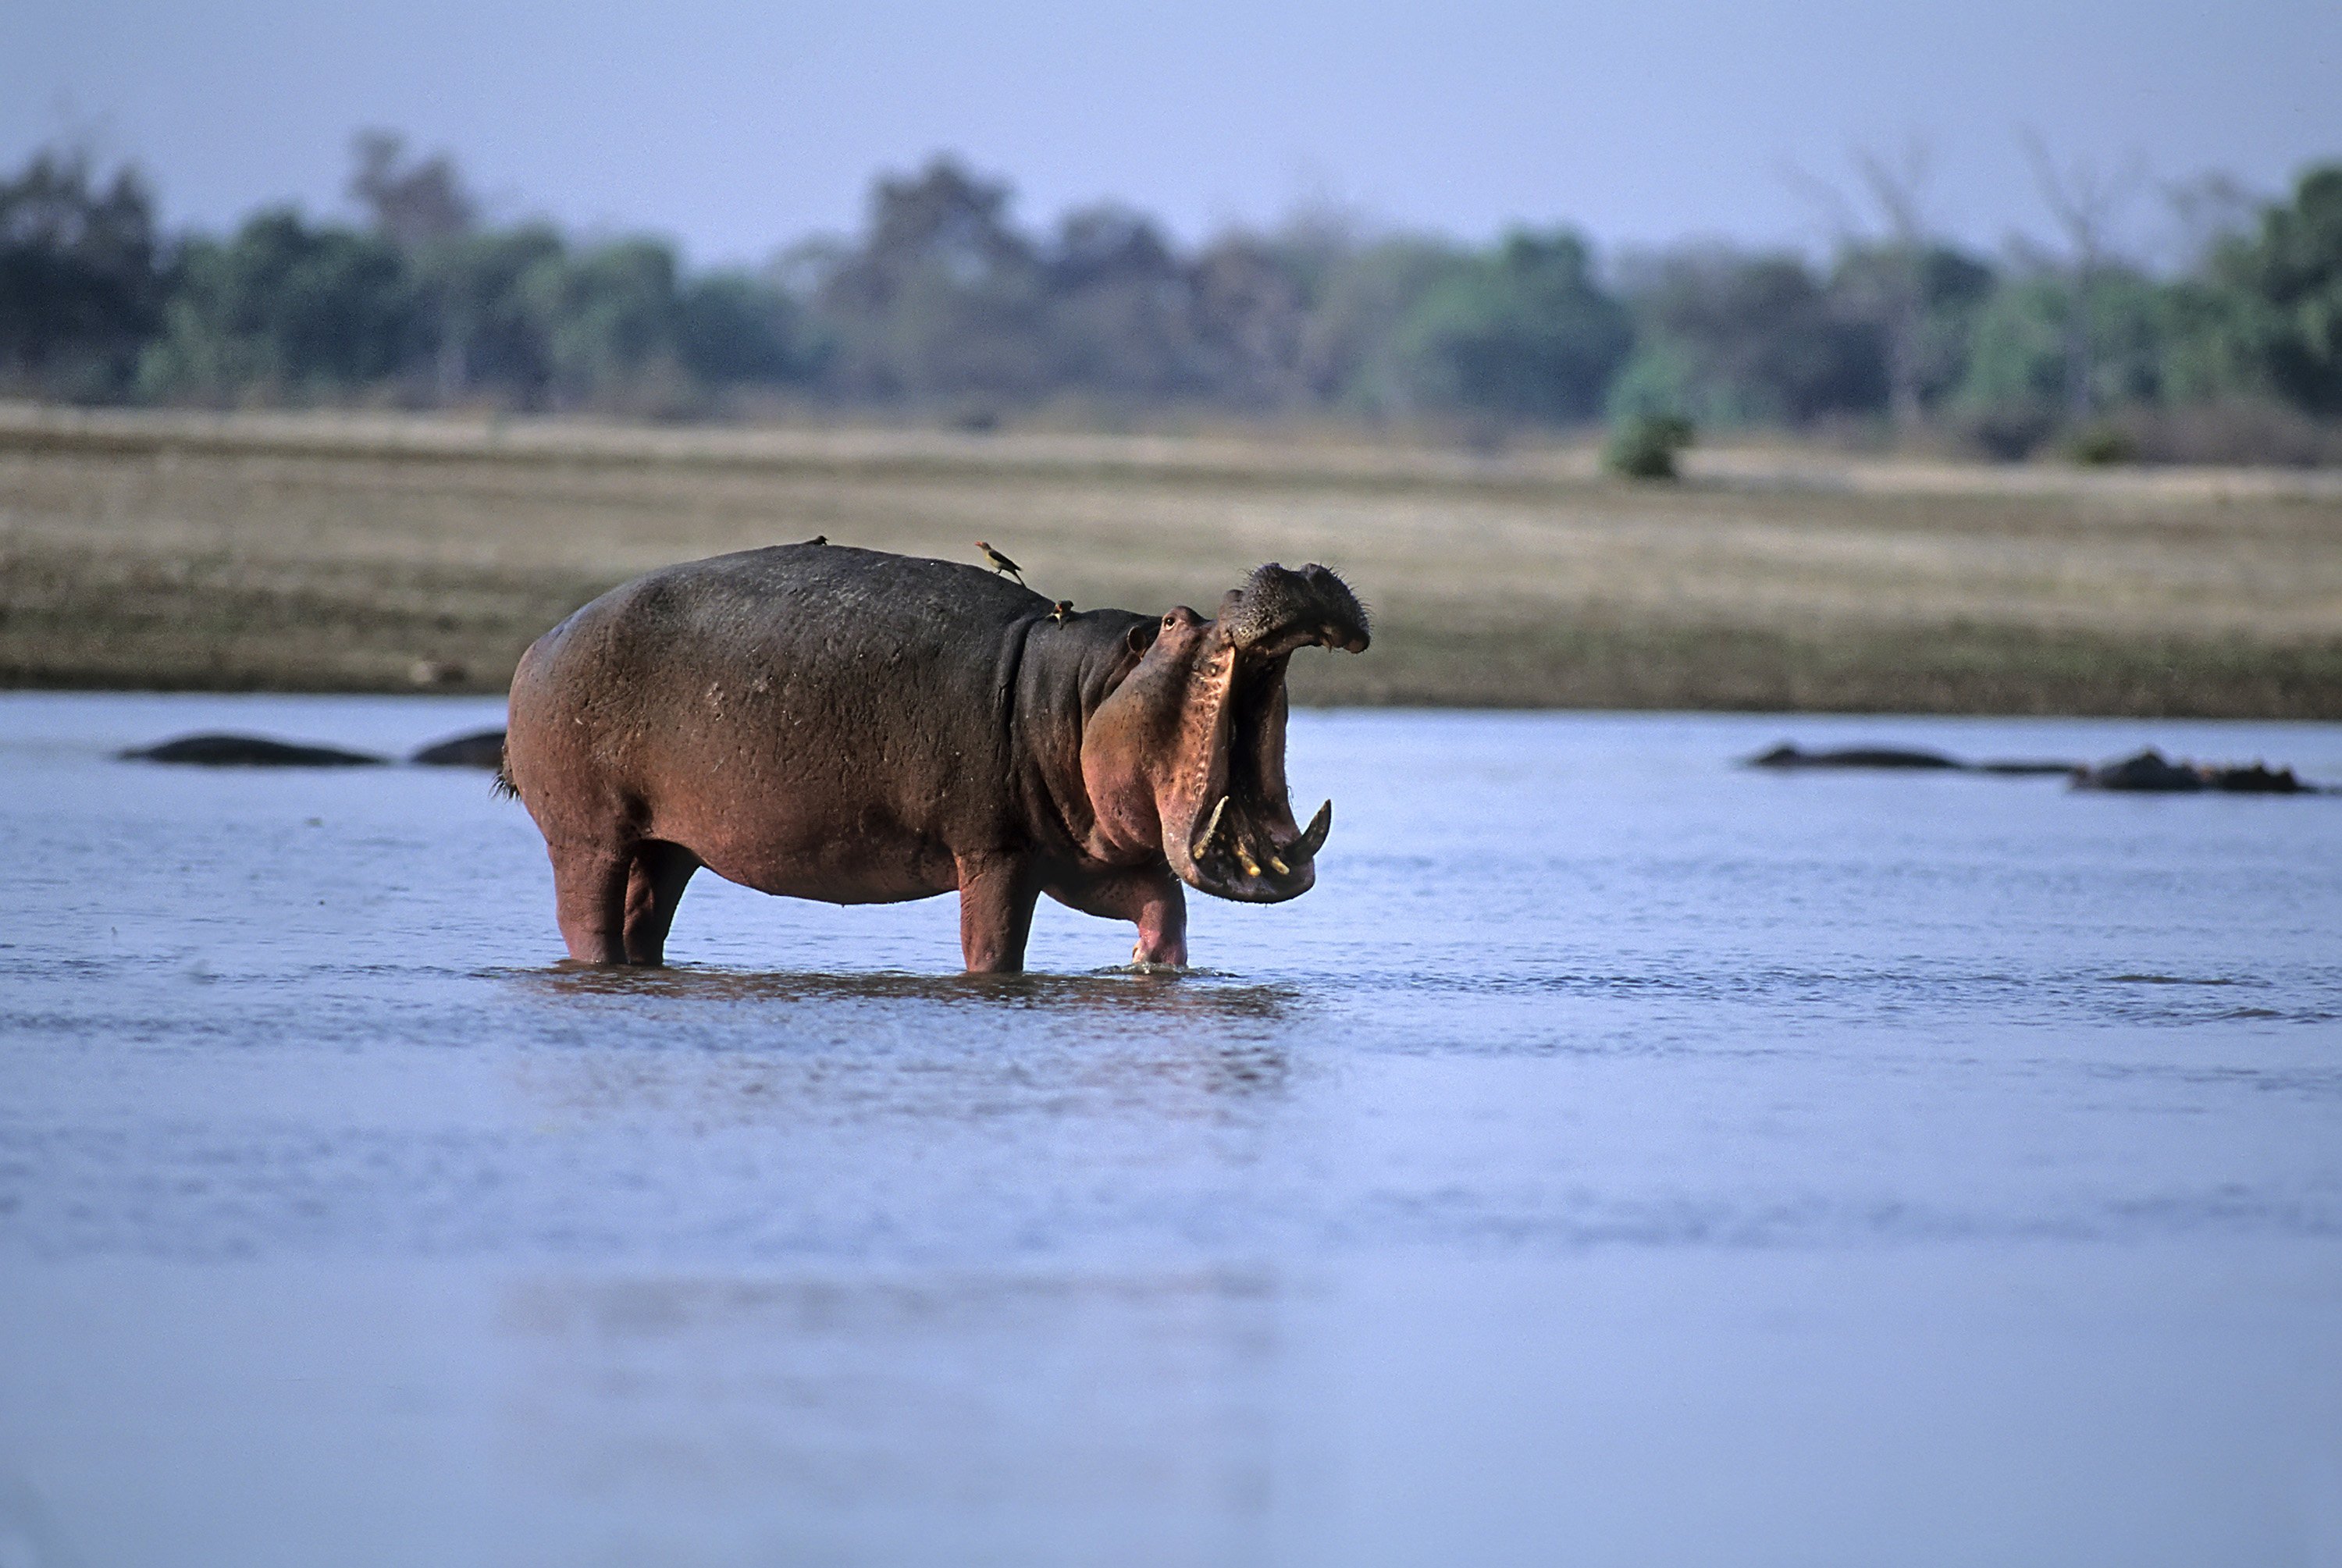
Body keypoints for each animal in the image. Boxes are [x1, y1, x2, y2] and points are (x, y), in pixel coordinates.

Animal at [499, 547, 1368, 978]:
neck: (1086, 689)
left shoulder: (1074, 853)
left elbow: (1161, 901)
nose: (1298, 571)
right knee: (587, 917)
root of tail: (539, 644)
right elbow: (993, 945)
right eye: (1178, 621)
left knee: (643, 913)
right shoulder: (995, 849)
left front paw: (1152, 965)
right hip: (588, 833)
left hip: (670, 840)